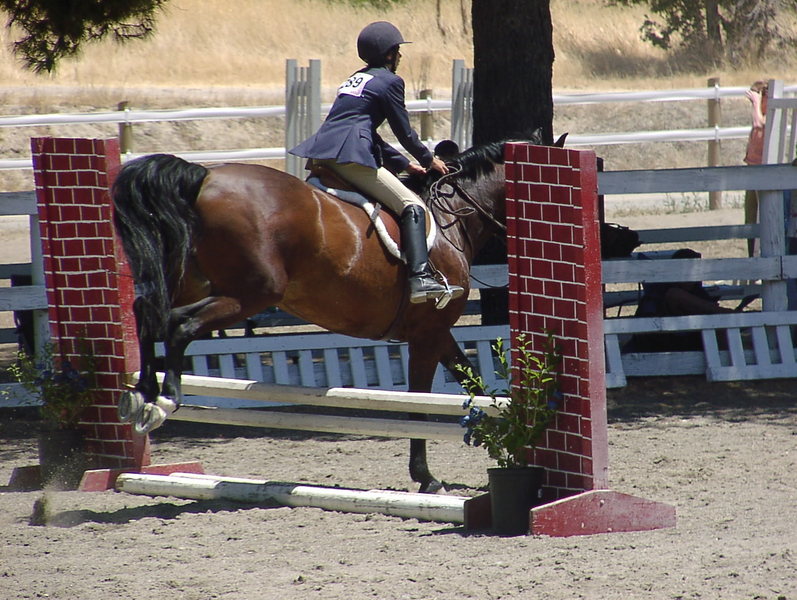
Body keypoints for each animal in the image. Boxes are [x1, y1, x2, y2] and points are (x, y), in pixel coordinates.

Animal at [112, 140, 510, 493]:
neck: (452, 218)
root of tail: (203, 177)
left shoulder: (437, 333)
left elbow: (472, 382)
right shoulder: (428, 333)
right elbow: (419, 405)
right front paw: (427, 477)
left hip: (195, 281)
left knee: (148, 312)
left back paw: (142, 395)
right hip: (251, 294)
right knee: (180, 324)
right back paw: (162, 401)